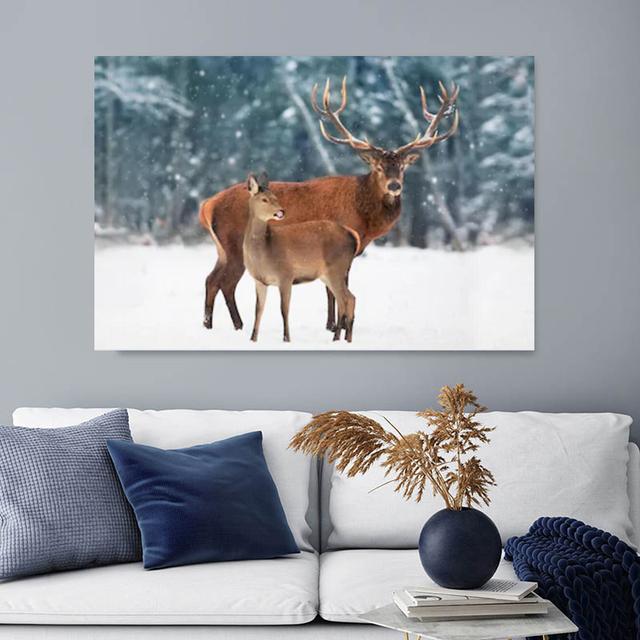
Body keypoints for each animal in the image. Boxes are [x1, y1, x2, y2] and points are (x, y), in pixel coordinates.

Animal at [243, 172, 358, 343]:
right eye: (264, 199)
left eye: (275, 197)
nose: (281, 211)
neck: (263, 253)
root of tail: (353, 237)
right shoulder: (259, 280)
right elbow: (258, 310)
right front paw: (253, 339)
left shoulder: (285, 274)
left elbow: (284, 309)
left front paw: (286, 339)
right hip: (328, 274)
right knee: (347, 299)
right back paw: (342, 338)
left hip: (337, 268)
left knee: (347, 299)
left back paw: (342, 339)